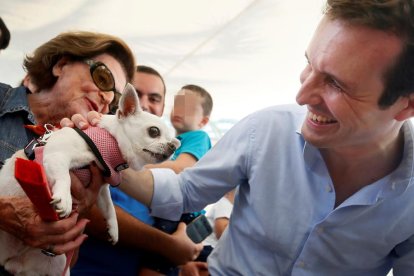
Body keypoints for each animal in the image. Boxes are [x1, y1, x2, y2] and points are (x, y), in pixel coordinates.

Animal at [0, 83, 180, 274]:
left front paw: (113, 229)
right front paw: (64, 200)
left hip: (56, 264)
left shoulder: (101, 187)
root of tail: (9, 259)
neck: (109, 144)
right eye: (154, 131)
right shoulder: (56, 155)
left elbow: (109, 207)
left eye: (174, 142)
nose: (173, 146)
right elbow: (65, 177)